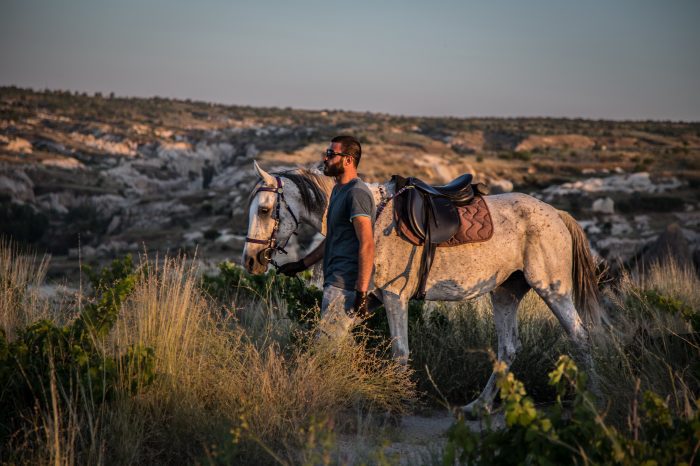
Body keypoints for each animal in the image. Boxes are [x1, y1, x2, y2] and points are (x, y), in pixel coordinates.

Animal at [241, 161, 600, 412]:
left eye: (264, 210)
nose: (251, 260)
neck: (371, 221)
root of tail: (557, 214)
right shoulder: (364, 300)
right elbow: (327, 340)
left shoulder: (393, 297)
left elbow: (400, 352)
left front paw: (398, 401)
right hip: (505, 294)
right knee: (508, 348)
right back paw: (479, 406)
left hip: (552, 289)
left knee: (581, 337)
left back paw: (591, 401)